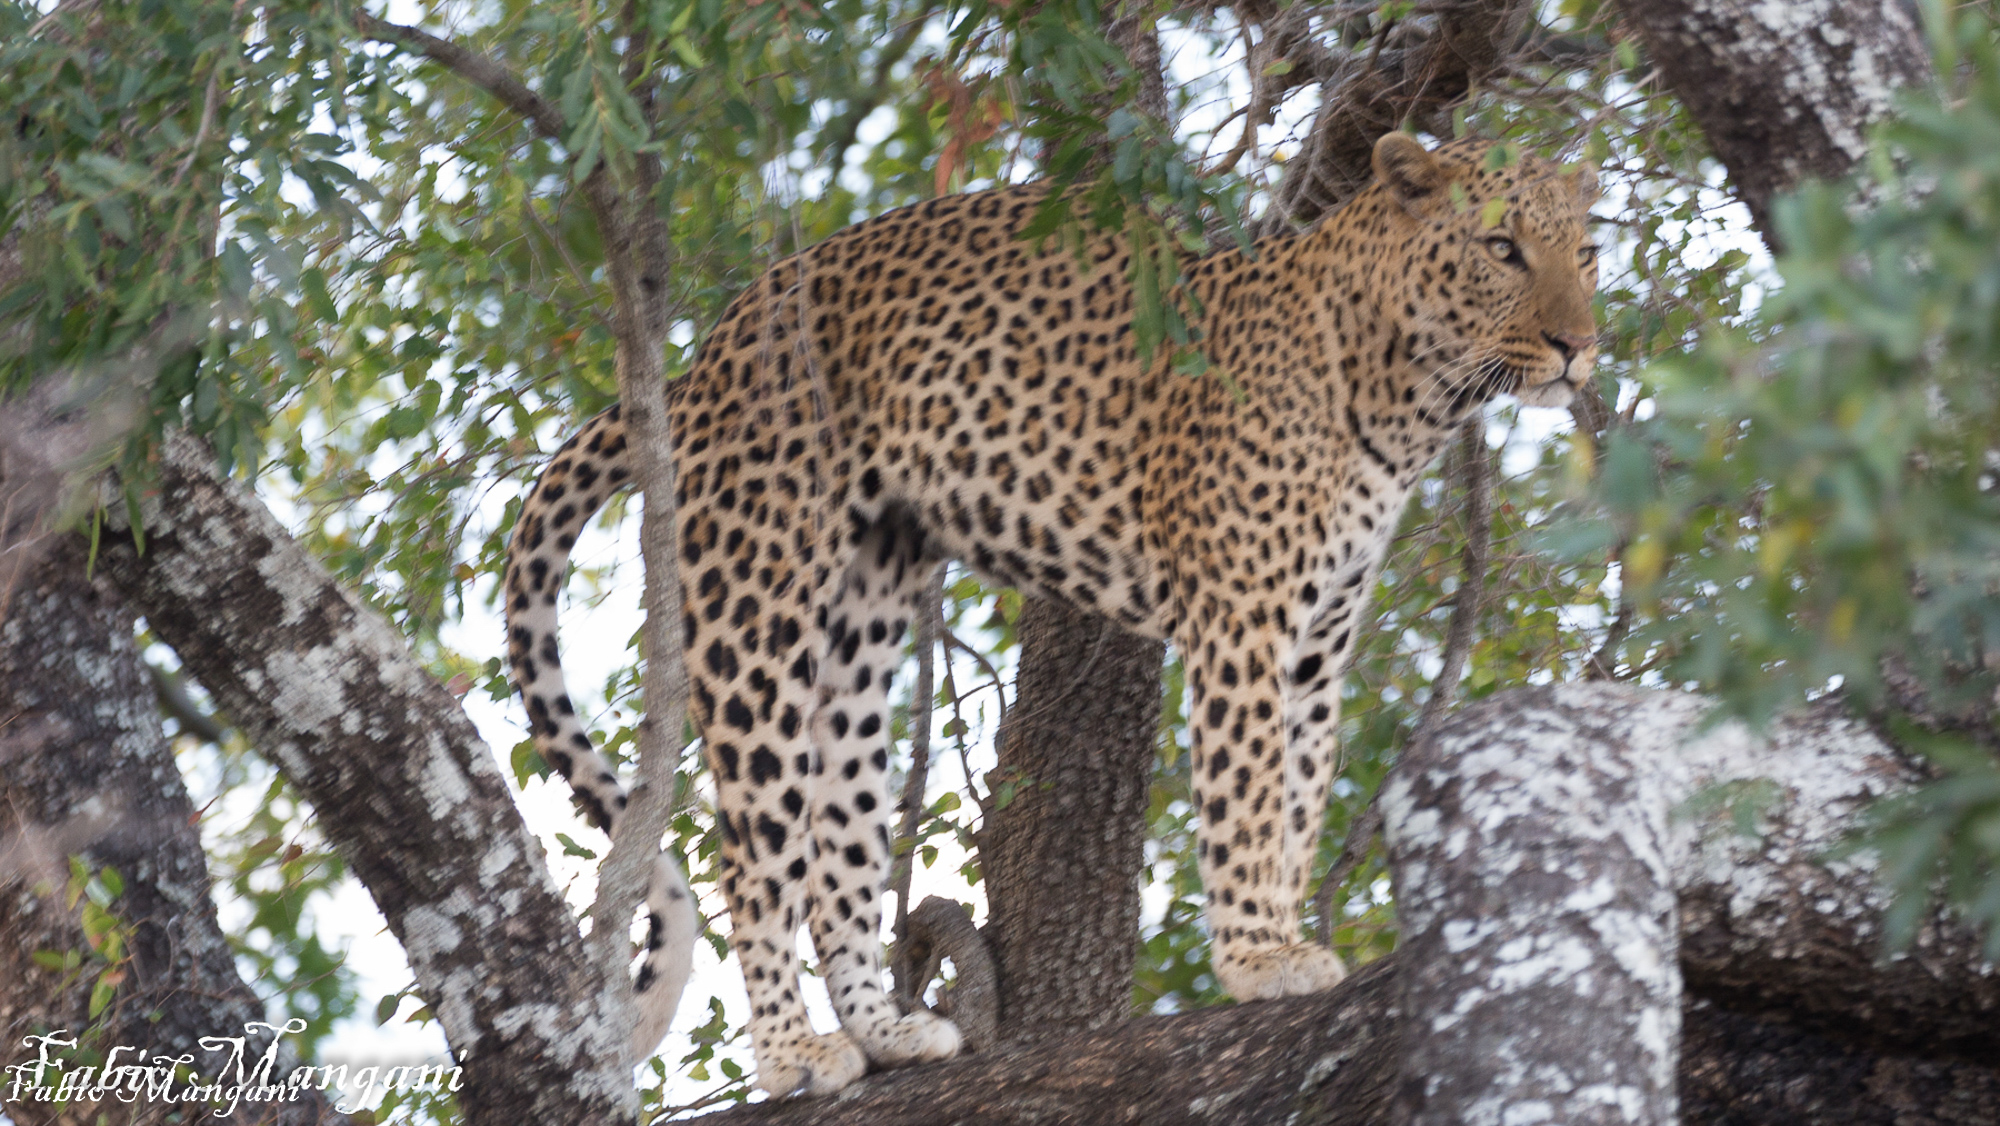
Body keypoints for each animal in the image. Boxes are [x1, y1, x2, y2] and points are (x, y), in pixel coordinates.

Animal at [503, 131, 1600, 1097]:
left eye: (1584, 252)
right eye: (1501, 248)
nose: (1577, 347)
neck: (1408, 400)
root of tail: (705, 353)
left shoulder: (1317, 645)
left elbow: (1295, 801)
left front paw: (1282, 936)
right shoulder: (1242, 618)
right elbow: (1248, 795)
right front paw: (1255, 955)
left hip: (865, 611)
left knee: (837, 828)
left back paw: (886, 1028)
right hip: (757, 606)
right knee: (755, 848)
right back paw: (790, 1052)